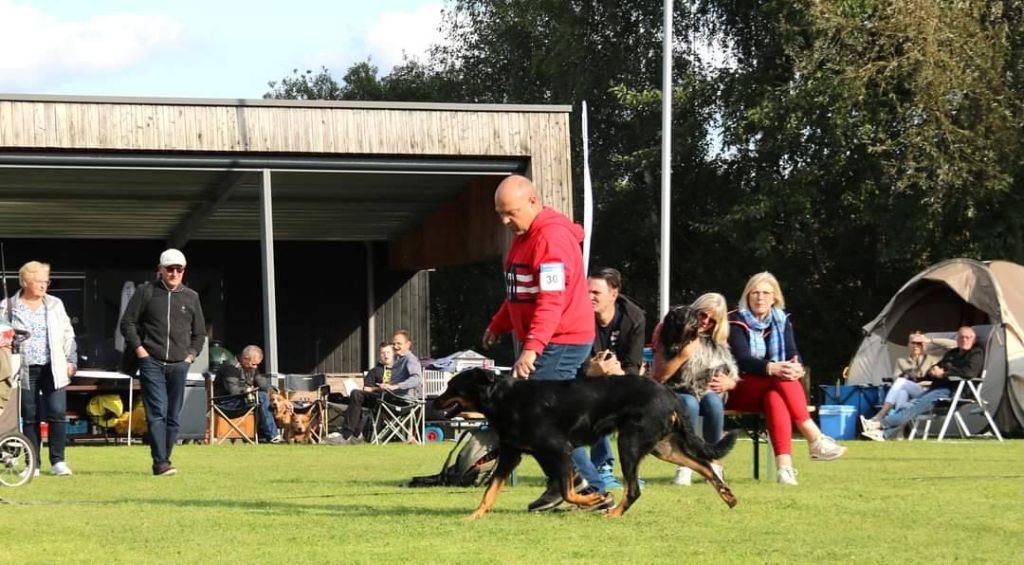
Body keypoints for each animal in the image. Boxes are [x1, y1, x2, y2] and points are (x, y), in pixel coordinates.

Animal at [432, 364, 737, 517]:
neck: (504, 399)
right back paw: (728, 495)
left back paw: (613, 513)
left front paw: (596, 498)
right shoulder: (511, 454)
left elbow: (569, 490)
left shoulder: (559, 449)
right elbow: (489, 492)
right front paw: (474, 516)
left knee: (634, 490)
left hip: (630, 443)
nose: (434, 401)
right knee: (704, 464)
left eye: (452, 386)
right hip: (663, 447)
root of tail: (670, 393)